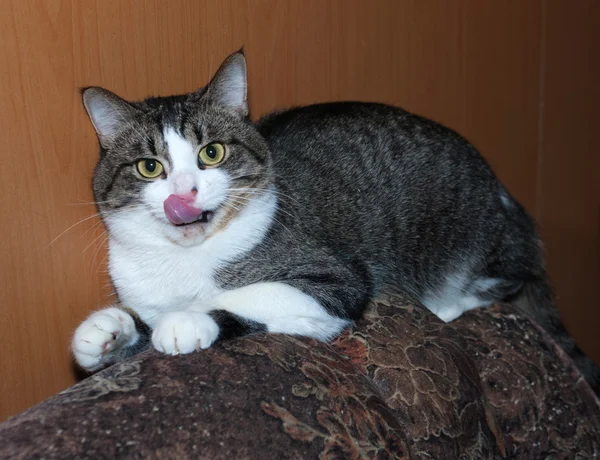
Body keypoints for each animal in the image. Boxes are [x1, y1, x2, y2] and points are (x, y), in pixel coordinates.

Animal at [72, 51, 596, 396]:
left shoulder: (333, 281)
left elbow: (245, 296)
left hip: (475, 239)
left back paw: (447, 302)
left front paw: (186, 321)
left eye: (212, 153)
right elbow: (140, 317)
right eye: (150, 167)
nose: (185, 194)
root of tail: (509, 201)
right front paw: (106, 330)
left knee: (505, 281)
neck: (185, 258)